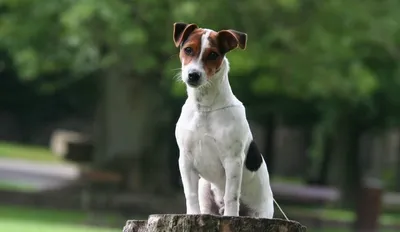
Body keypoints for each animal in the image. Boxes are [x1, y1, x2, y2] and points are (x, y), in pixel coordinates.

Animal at [173, 22, 274, 218]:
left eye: (213, 55)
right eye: (188, 49)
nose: (193, 75)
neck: (205, 108)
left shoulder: (232, 160)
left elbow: (231, 195)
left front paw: (230, 215)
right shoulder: (185, 160)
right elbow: (190, 194)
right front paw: (192, 214)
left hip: (260, 211)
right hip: (204, 187)